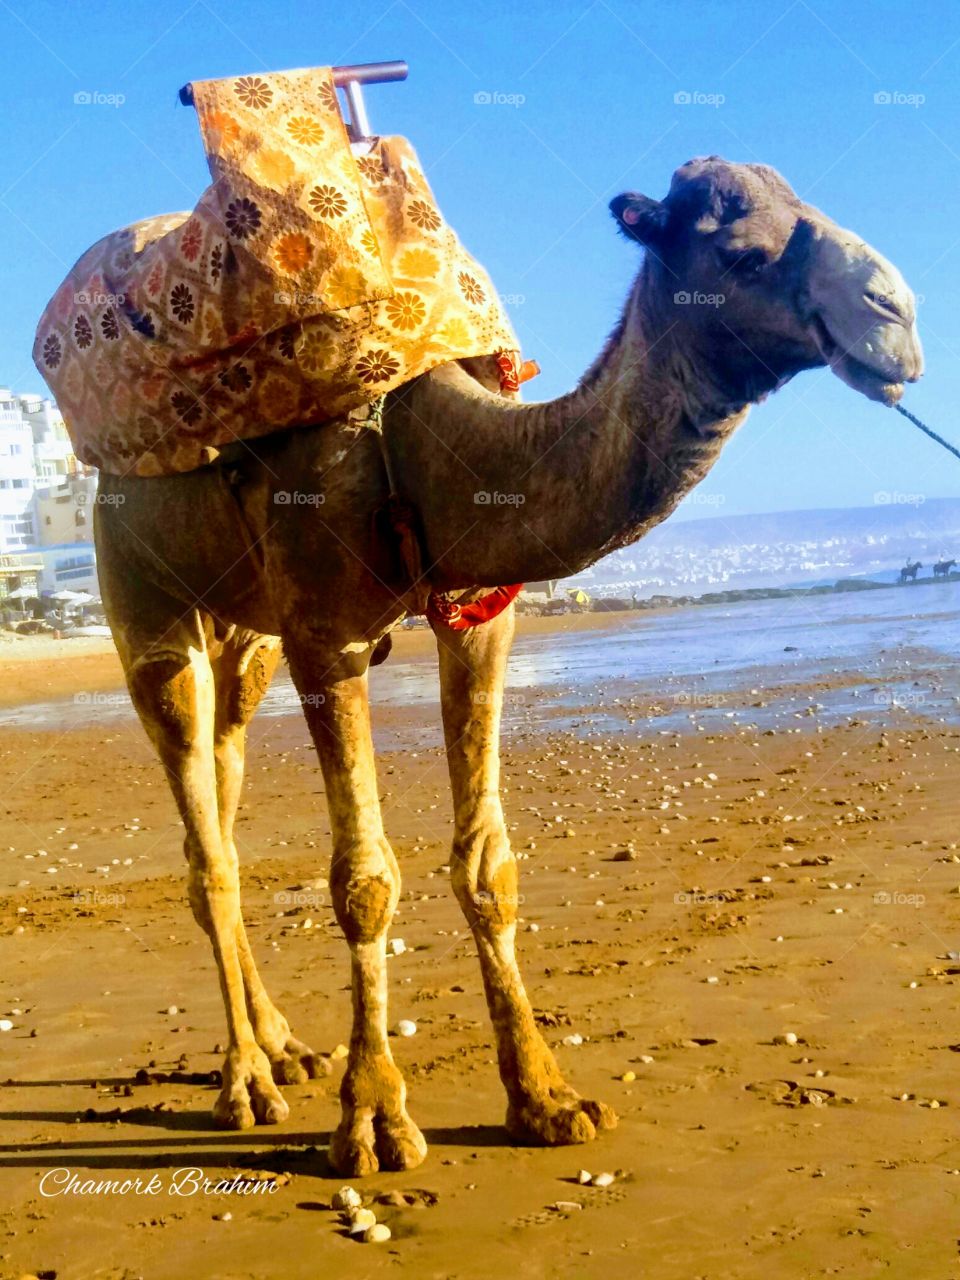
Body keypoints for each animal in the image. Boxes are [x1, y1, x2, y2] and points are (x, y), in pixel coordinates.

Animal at [93, 157, 922, 1175]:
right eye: (743, 251)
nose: (897, 314)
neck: (421, 448)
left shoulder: (480, 618)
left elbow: (490, 867)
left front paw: (546, 1098)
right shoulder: (325, 635)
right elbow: (363, 882)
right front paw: (375, 1120)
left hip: (246, 638)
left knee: (224, 786)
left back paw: (285, 1046)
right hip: (140, 586)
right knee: (202, 833)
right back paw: (246, 1081)